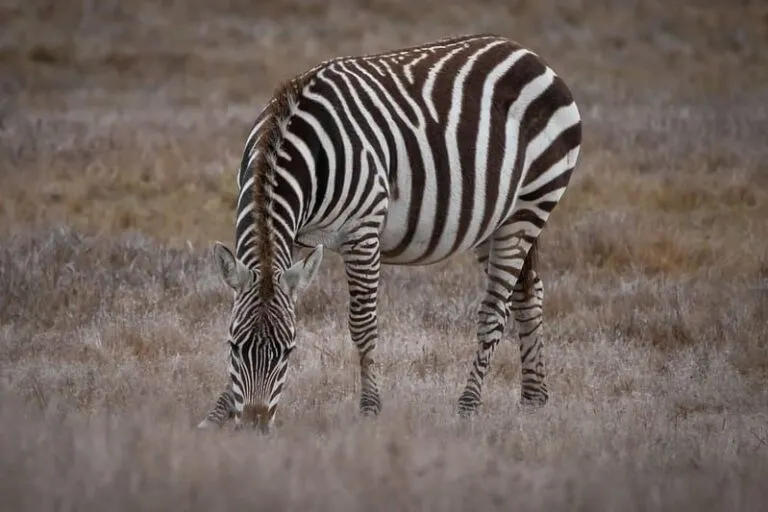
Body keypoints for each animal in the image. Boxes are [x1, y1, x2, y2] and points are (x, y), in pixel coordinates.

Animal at [196, 33, 582, 432]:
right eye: (233, 346)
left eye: (289, 350)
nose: (254, 426)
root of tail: (525, 52)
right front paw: (216, 415)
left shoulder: (362, 231)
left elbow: (363, 324)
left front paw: (370, 408)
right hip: (496, 219)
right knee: (528, 292)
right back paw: (534, 399)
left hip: (531, 203)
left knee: (494, 310)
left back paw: (468, 405)